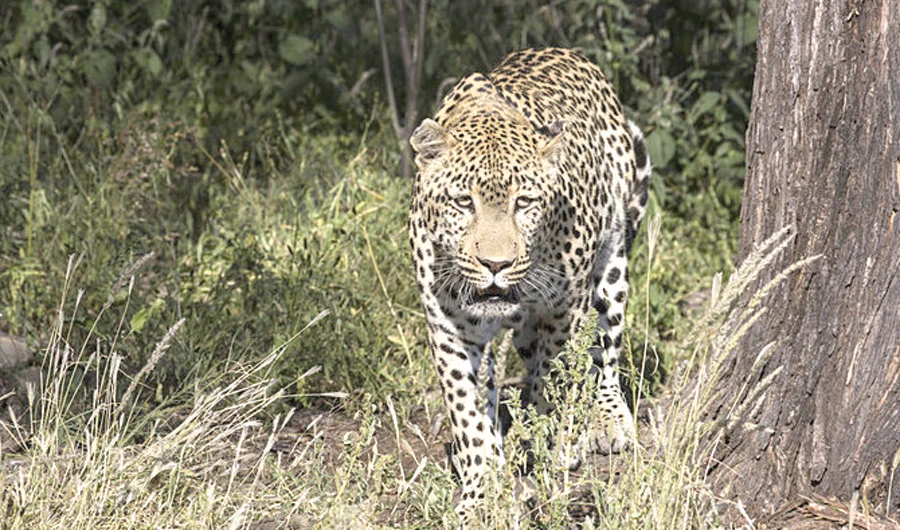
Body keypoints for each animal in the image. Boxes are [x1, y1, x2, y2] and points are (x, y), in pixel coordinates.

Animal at [408, 47, 651, 519]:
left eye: (524, 202)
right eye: (463, 201)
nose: (495, 263)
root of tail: (566, 51)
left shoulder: (564, 307)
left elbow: (553, 373)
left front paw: (550, 438)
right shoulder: (447, 323)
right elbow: (467, 408)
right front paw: (482, 487)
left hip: (611, 267)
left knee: (605, 350)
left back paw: (606, 419)